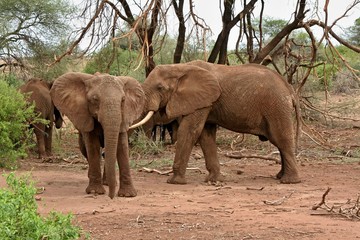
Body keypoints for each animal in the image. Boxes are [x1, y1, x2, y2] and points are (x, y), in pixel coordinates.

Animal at [49, 71, 145, 199]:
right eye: (95, 99)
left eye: (123, 100)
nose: (111, 197)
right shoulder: (85, 116)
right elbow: (93, 147)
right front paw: (95, 192)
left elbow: (122, 147)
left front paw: (128, 195)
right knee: (86, 150)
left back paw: (108, 183)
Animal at [131, 60, 300, 186]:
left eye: (160, 88)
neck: (180, 67)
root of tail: (290, 89)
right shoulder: (205, 101)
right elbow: (205, 135)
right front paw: (214, 180)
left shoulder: (201, 101)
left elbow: (190, 130)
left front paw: (174, 182)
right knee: (279, 142)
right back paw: (279, 176)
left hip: (277, 107)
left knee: (282, 139)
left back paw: (289, 181)